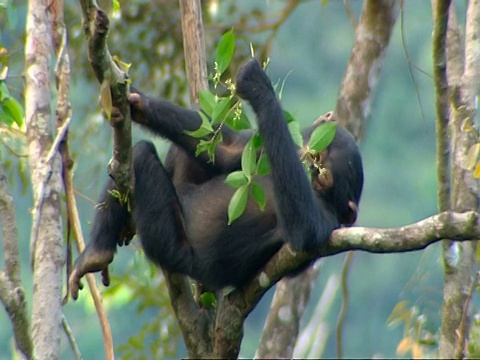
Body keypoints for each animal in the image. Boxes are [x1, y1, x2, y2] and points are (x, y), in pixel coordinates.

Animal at [68, 59, 364, 300]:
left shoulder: (327, 221)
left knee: (141, 156)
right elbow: (229, 151)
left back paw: (97, 253)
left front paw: (257, 83)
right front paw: (138, 102)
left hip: (169, 244)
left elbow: (305, 230)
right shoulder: (263, 151)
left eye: (326, 162)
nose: (314, 161)